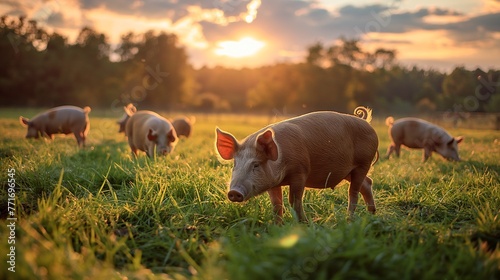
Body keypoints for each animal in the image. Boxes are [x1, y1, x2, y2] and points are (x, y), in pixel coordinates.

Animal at [215, 105, 378, 223]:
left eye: (256, 165)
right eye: (235, 165)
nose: (234, 192)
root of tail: (365, 121)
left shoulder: (300, 172)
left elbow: (294, 201)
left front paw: (304, 224)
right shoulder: (273, 183)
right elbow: (277, 205)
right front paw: (277, 227)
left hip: (363, 163)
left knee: (354, 192)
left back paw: (349, 220)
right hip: (349, 171)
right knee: (367, 183)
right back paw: (372, 214)